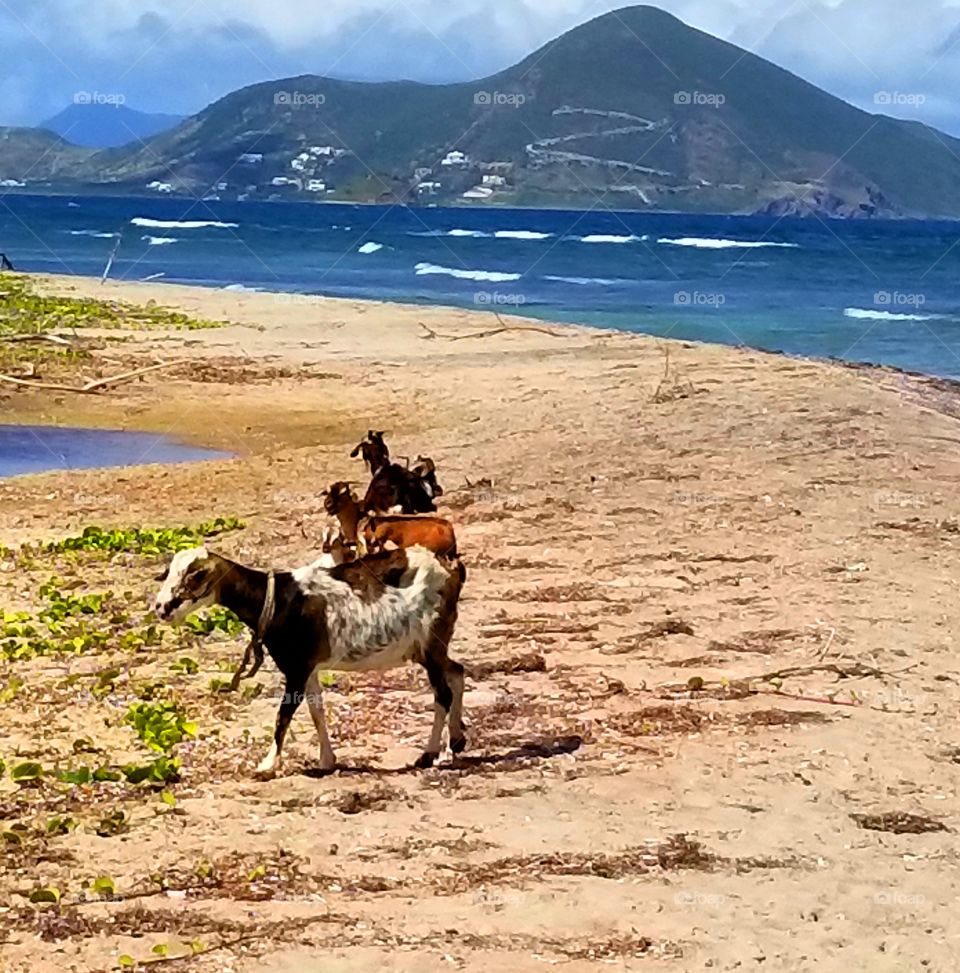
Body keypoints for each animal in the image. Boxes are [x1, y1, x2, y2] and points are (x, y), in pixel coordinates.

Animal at [154, 545, 467, 777]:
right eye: (169, 573)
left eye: (195, 575)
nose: (161, 607)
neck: (276, 600)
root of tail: (449, 567)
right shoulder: (310, 668)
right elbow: (317, 710)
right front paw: (327, 760)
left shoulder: (296, 667)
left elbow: (283, 715)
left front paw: (267, 765)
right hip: (430, 648)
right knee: (457, 672)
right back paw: (456, 741)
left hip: (430, 641)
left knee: (443, 693)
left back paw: (429, 754)